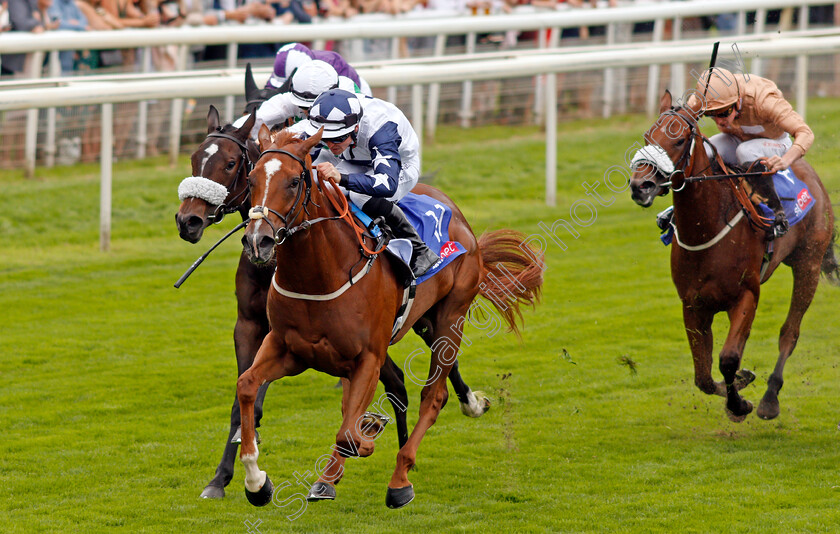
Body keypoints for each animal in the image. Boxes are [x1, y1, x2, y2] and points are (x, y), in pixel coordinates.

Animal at [235, 126, 544, 510]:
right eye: (251, 179)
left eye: (293, 181)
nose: (257, 241)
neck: (321, 274)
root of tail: (459, 217)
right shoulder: (288, 348)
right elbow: (248, 385)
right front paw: (256, 482)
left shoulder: (367, 355)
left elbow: (349, 432)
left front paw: (368, 436)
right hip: (424, 320)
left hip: (452, 315)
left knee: (433, 396)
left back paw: (400, 479)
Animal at [628, 91, 836, 422]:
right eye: (648, 136)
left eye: (679, 140)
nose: (640, 186)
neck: (707, 228)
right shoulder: (693, 304)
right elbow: (703, 376)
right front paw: (739, 384)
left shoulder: (747, 295)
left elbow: (728, 358)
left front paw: (740, 404)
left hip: (809, 264)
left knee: (790, 332)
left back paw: (770, 398)